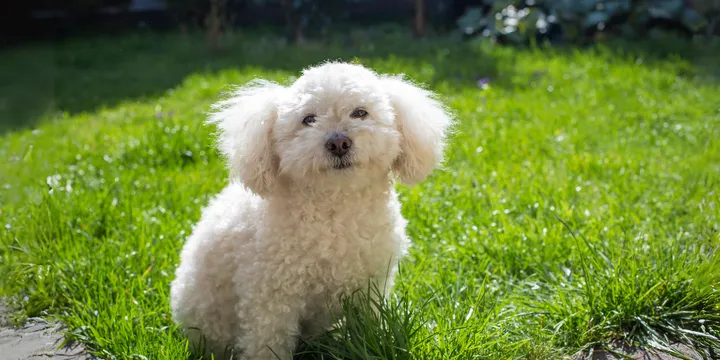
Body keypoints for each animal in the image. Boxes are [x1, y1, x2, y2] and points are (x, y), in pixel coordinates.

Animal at [170, 60, 450, 358]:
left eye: (360, 112)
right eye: (308, 119)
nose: (338, 143)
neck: (337, 208)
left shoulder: (371, 285)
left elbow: (368, 329)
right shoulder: (269, 295)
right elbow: (267, 343)